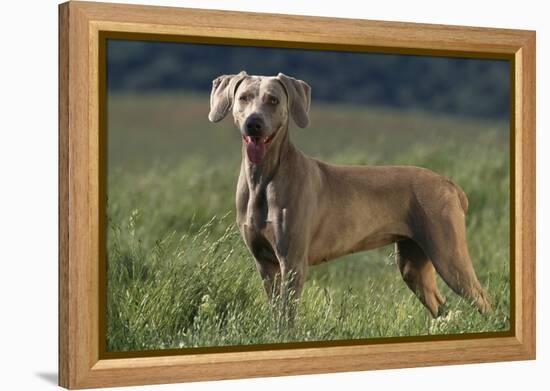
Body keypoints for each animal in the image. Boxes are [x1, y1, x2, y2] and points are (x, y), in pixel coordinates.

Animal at [209, 72, 494, 320]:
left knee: (483, 301)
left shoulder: (292, 262)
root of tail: (450, 184)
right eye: (244, 97)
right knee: (441, 308)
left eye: (273, 100)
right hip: (413, 263)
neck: (263, 179)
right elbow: (275, 313)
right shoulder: (264, 263)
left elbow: (287, 317)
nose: (253, 124)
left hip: (448, 255)